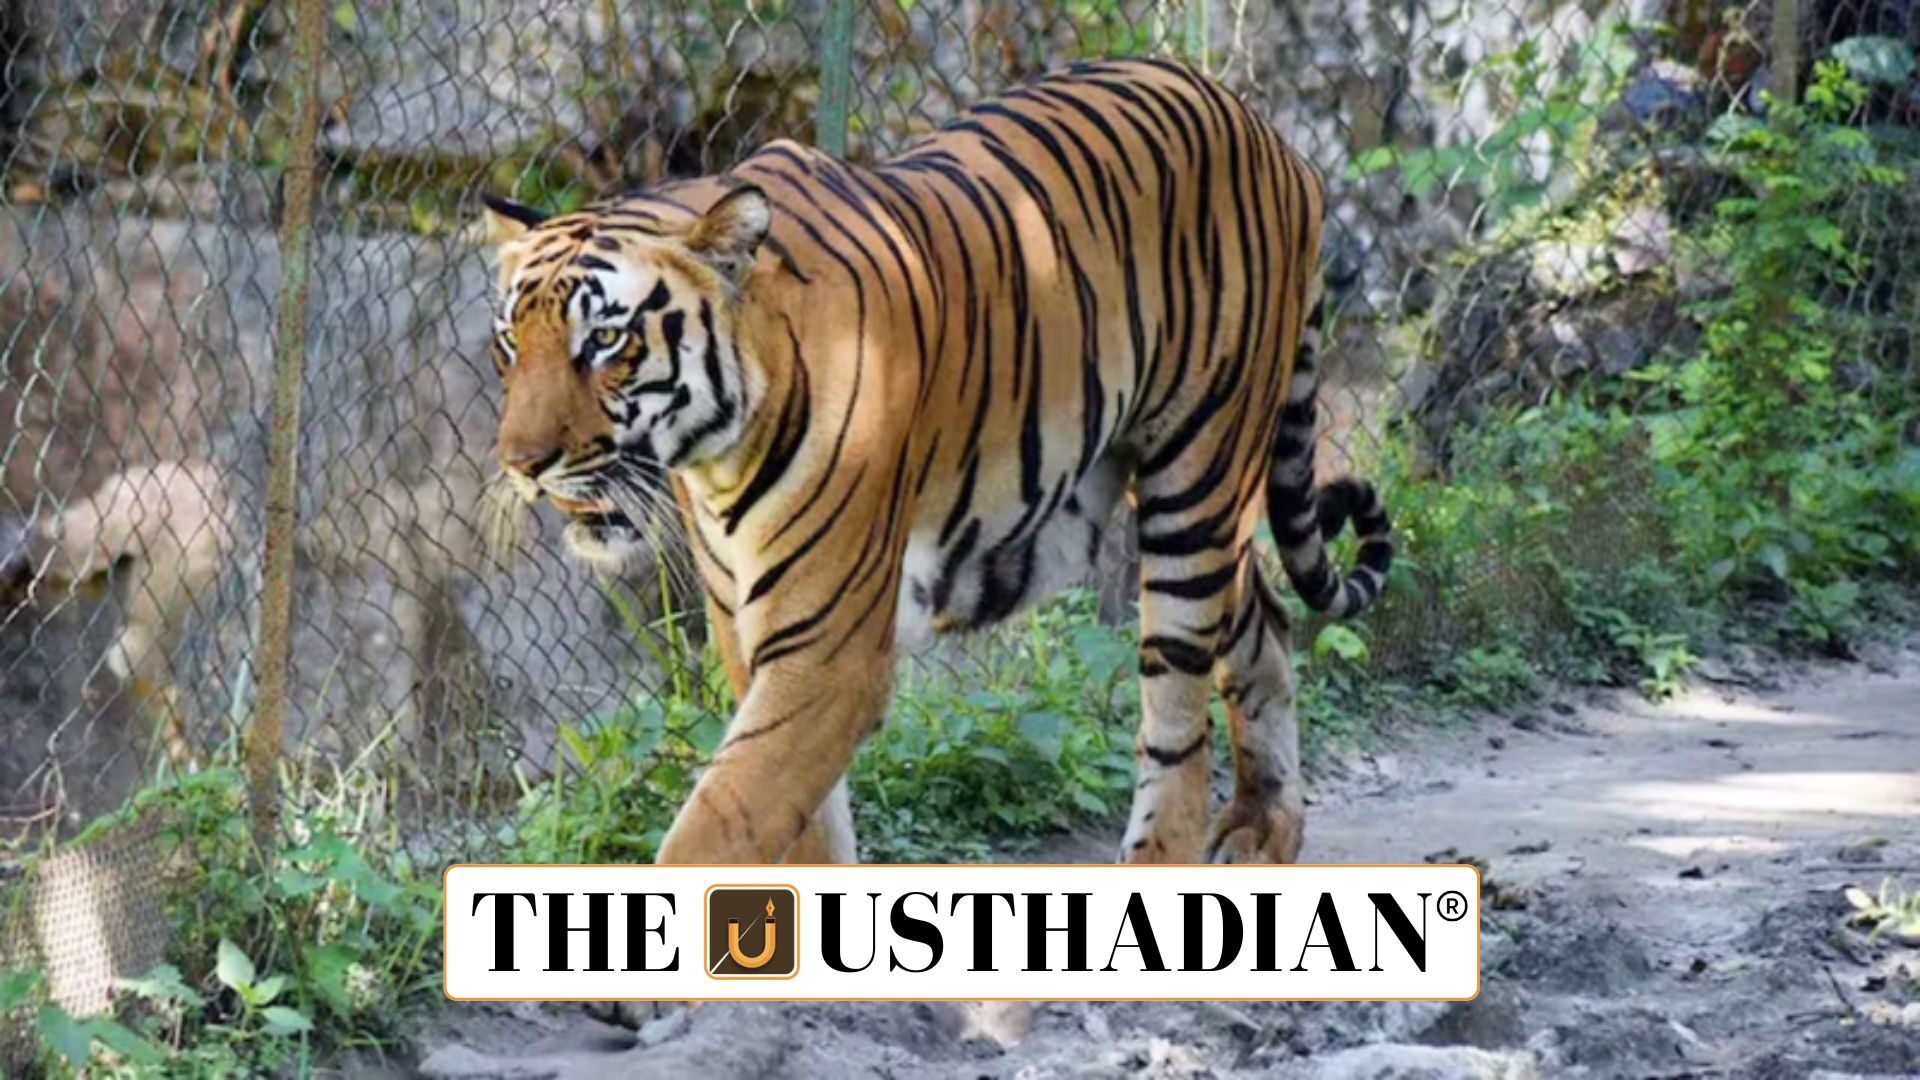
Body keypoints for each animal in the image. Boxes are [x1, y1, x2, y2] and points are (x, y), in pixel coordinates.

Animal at [480, 57, 1393, 867]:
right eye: (510, 342)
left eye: (606, 340)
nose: (522, 463)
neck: (716, 456)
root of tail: (1273, 135)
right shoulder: (746, 628)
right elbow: (802, 826)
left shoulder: (828, 649)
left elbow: (719, 823)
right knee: (1262, 615)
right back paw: (1262, 828)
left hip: (1196, 476)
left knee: (1176, 720)